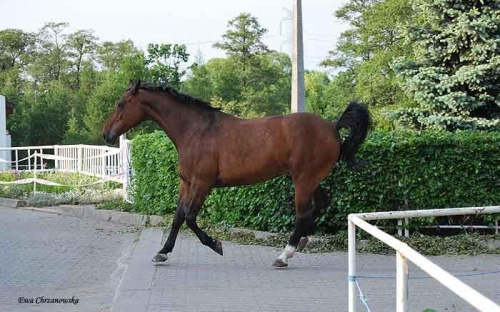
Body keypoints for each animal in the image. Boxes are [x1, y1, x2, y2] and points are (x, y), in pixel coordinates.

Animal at [103, 80, 370, 266]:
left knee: (303, 214)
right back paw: (302, 242)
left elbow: (190, 218)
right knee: (321, 204)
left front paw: (216, 244)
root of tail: (333, 126)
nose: (106, 134)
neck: (196, 130)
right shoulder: (186, 183)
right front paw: (162, 253)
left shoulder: (202, 184)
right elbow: (178, 218)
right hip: (312, 179)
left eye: (120, 104)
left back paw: (285, 254)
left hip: (303, 181)